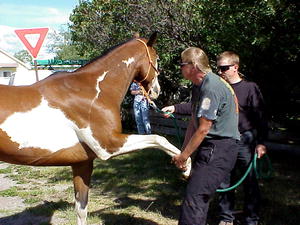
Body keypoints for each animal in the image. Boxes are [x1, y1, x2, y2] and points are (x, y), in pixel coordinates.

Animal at [0, 33, 192, 225]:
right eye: (157, 58)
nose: (156, 91)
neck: (93, 91)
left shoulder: (82, 163)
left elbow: (81, 209)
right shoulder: (109, 145)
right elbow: (159, 138)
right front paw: (185, 167)